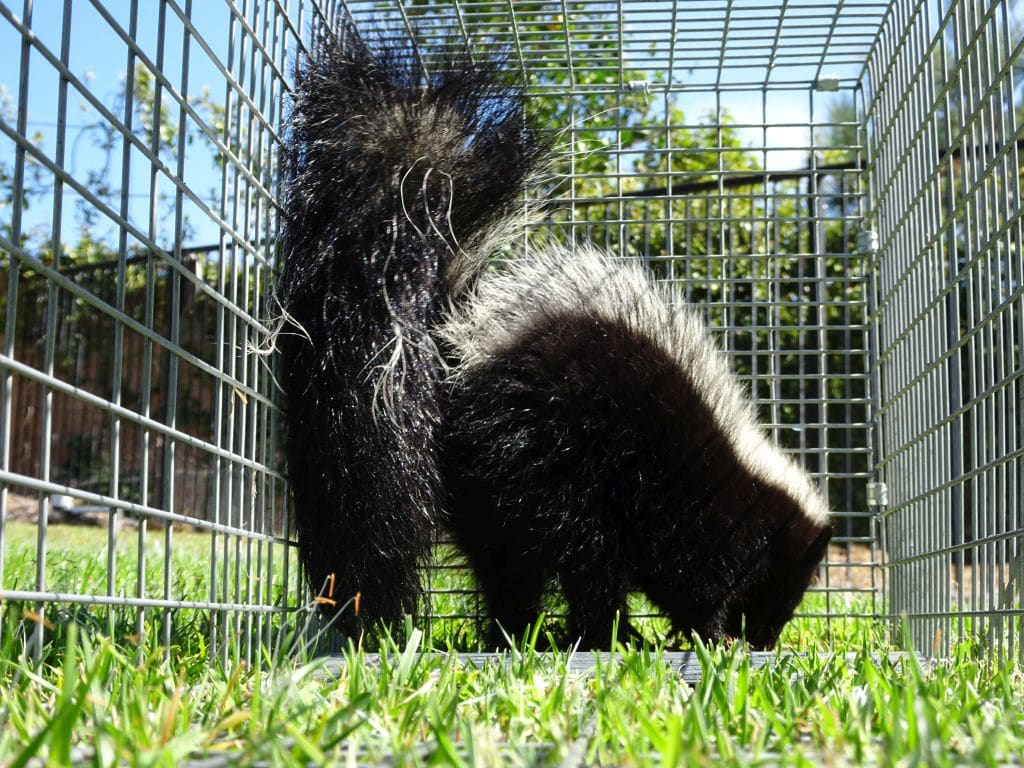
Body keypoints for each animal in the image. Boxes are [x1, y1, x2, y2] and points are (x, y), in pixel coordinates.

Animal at [440, 247, 831, 651]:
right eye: (788, 588)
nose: (764, 639)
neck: (750, 484)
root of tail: (466, 357)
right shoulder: (698, 519)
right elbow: (691, 584)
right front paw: (715, 636)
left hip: (487, 495)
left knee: (507, 571)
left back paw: (516, 636)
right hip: (544, 460)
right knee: (588, 559)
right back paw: (608, 636)